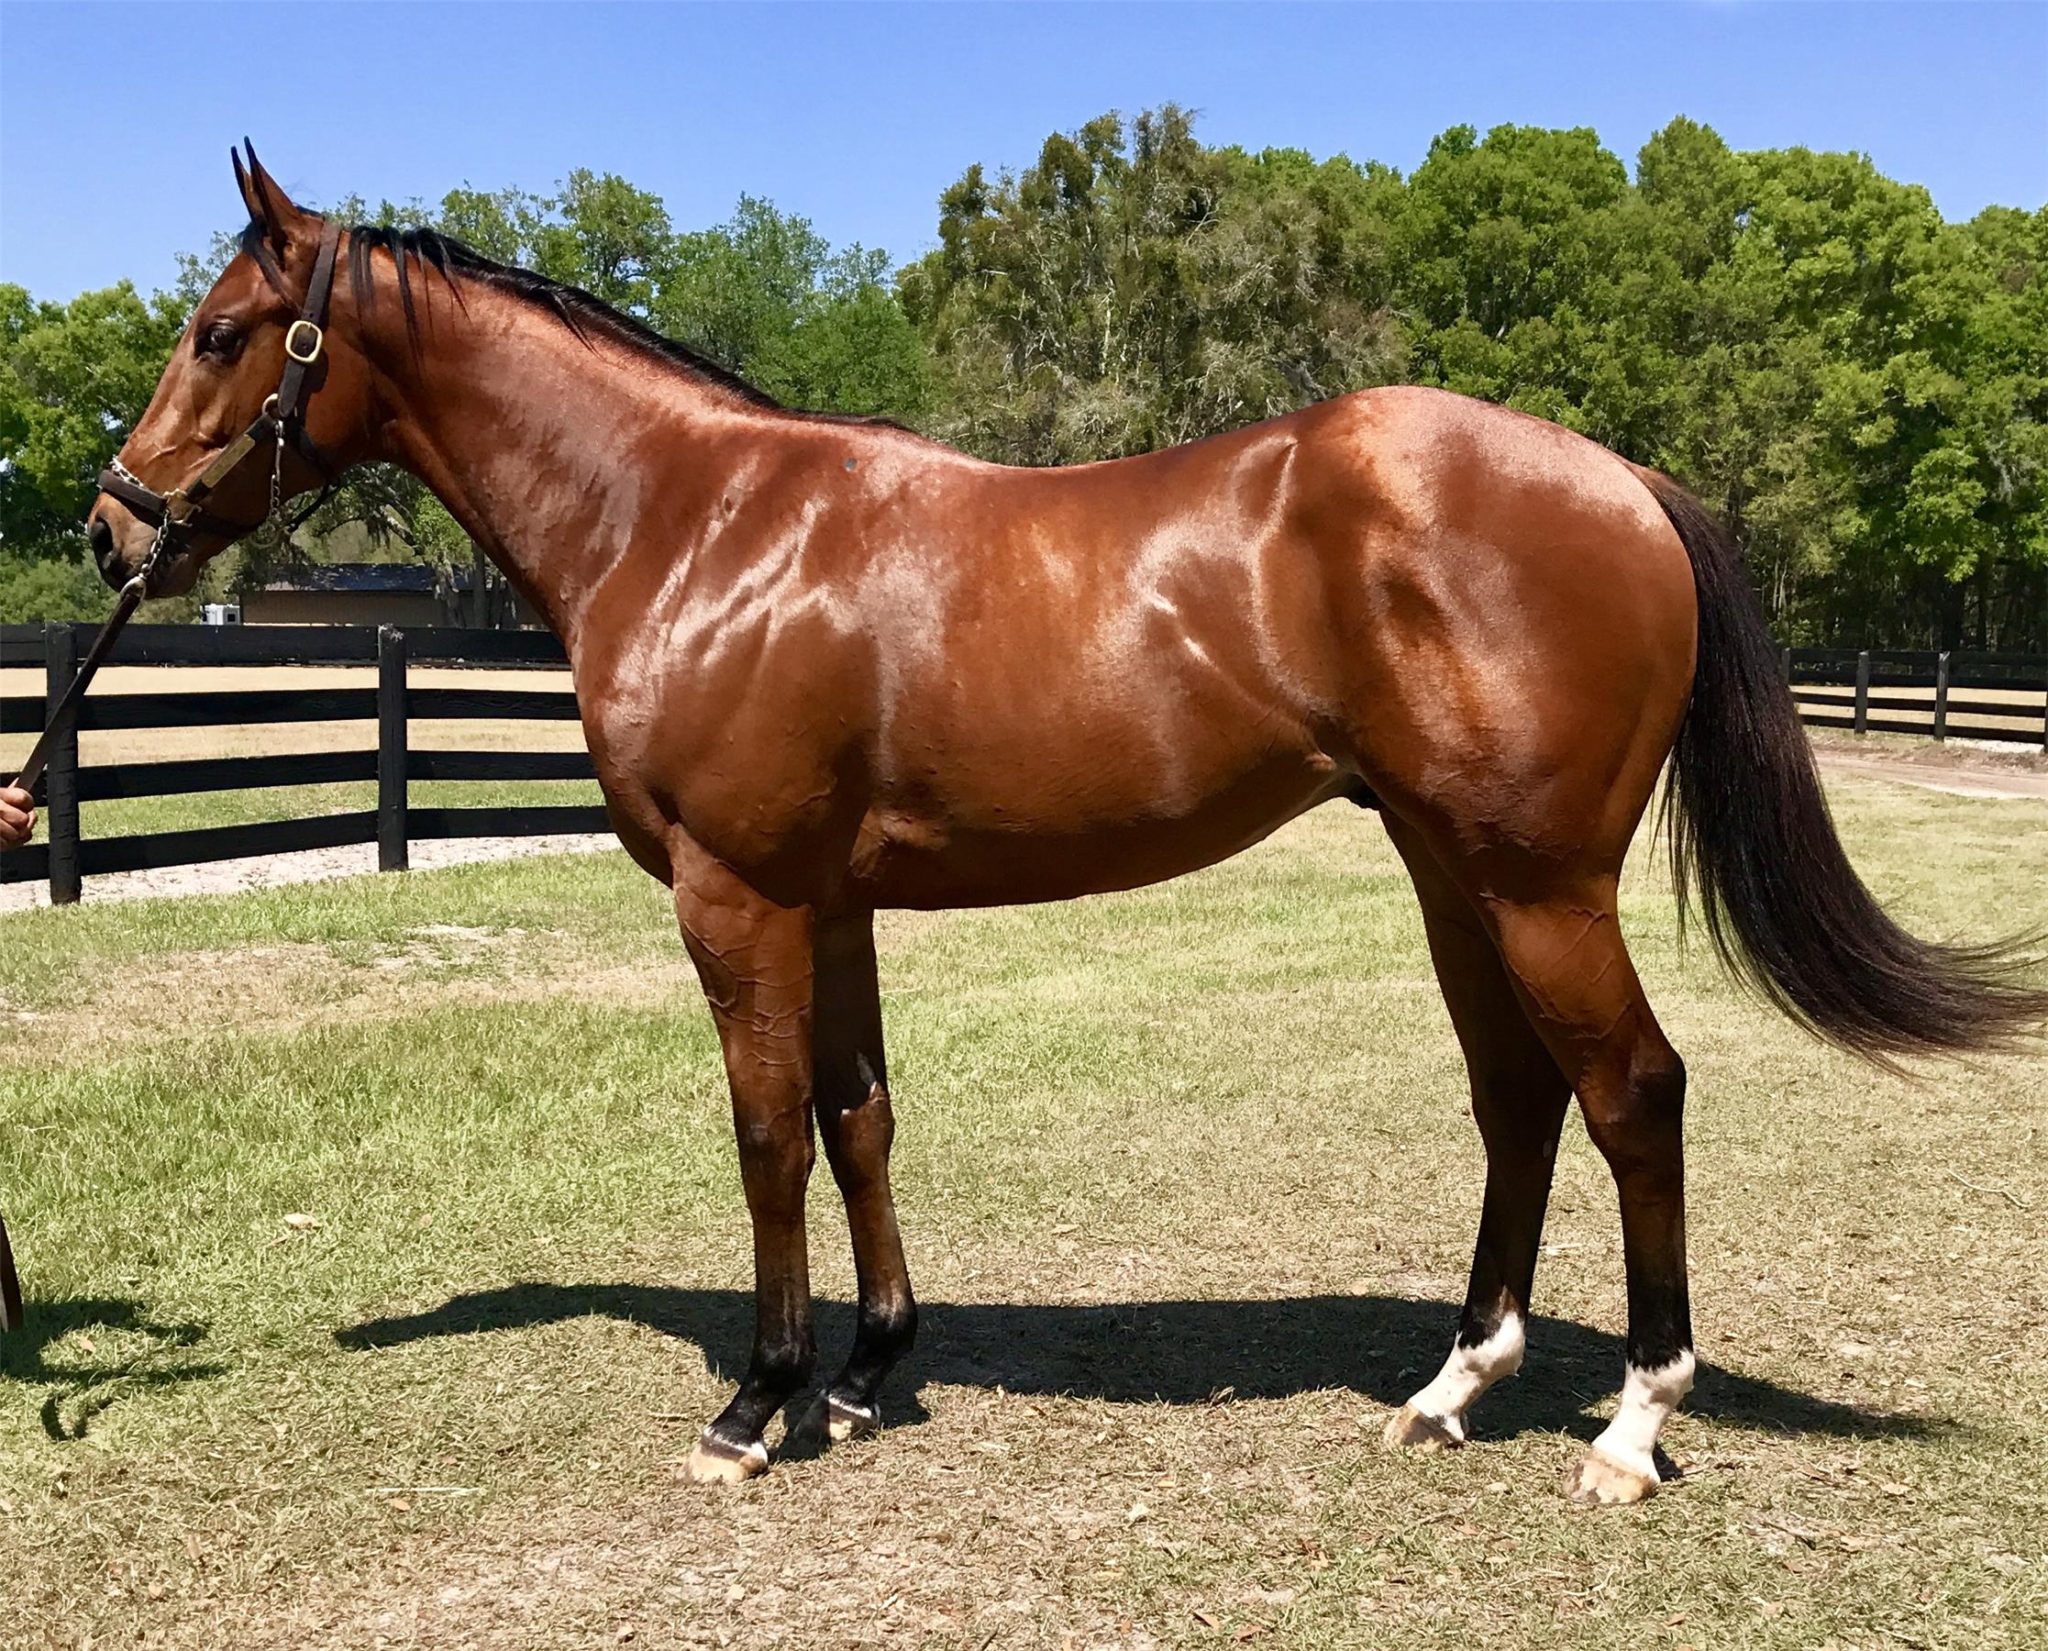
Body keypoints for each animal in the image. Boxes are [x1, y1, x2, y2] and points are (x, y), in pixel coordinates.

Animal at [88, 155, 2039, 1515]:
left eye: (218, 333)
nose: (113, 528)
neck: (695, 518)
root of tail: (1620, 477)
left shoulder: (738, 897)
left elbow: (765, 1135)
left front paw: (757, 1401)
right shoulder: (832, 901)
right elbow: (858, 1117)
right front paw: (868, 1369)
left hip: (1536, 879)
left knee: (1632, 1090)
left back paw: (1631, 1423)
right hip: (1452, 872)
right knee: (1517, 1093)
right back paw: (1454, 1383)